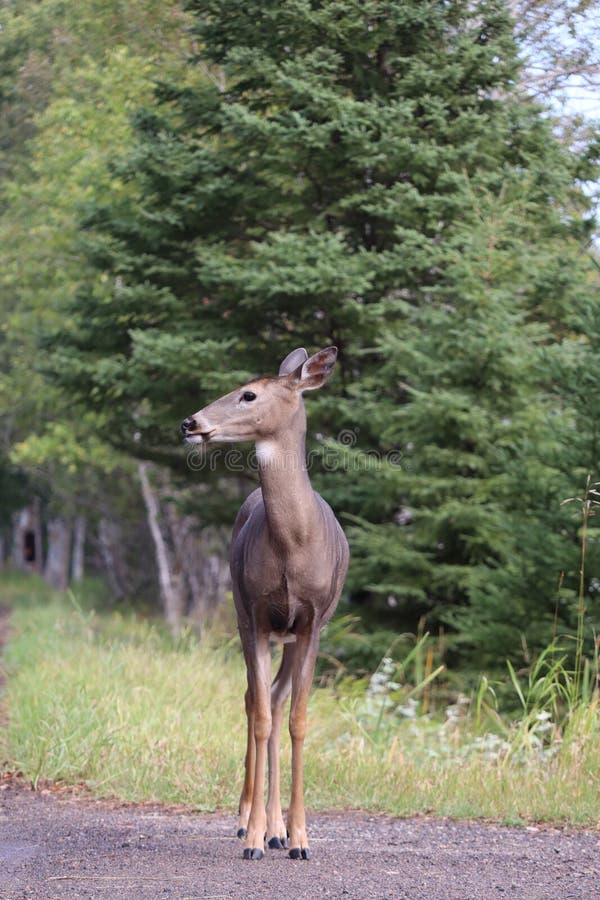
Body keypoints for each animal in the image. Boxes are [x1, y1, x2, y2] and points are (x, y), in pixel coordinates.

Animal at [180, 346, 350, 856]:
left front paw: (300, 837)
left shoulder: (312, 623)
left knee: (275, 701)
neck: (293, 543)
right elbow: (259, 717)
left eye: (249, 394)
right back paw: (252, 822)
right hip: (243, 615)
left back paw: (279, 830)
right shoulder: (254, 614)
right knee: (255, 700)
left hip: (290, 636)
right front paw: (253, 834)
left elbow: (296, 720)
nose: (189, 422)